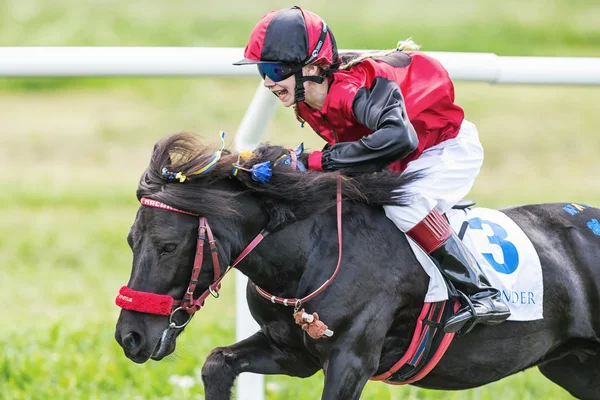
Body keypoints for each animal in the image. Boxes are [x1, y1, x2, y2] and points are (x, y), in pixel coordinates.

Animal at [115, 134, 600, 400]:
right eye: (131, 241)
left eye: (168, 246)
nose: (129, 337)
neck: (312, 253)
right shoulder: (292, 351)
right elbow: (217, 363)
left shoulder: (351, 359)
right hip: (572, 365)